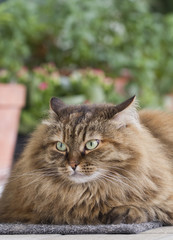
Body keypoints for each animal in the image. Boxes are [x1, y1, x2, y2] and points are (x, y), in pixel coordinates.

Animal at [0, 95, 173, 225]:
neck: (86, 193)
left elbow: (153, 208)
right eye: (61, 146)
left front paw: (124, 213)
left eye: (92, 144)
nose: (72, 164)